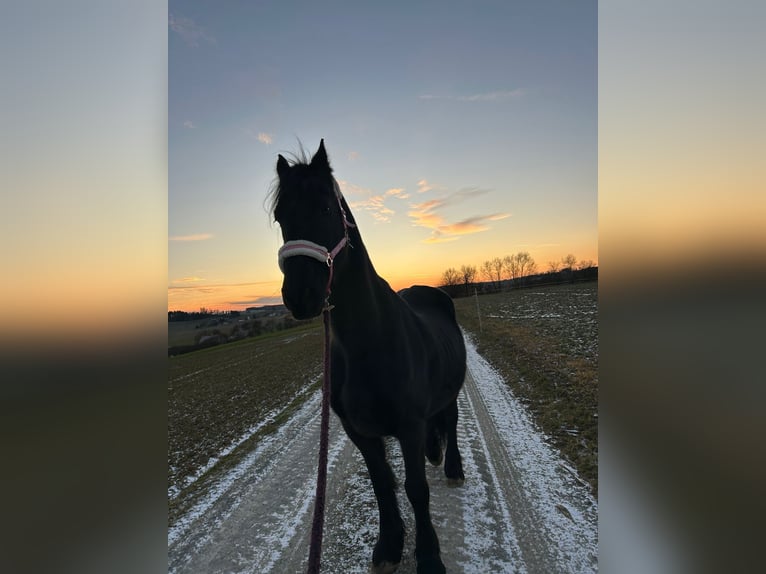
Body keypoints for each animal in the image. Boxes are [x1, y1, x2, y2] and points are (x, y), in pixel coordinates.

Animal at [270, 140, 466, 574]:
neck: (369, 343)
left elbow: (416, 488)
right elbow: (382, 484)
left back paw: (453, 466)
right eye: (279, 217)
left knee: (451, 420)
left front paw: (428, 556)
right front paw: (389, 545)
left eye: (327, 207)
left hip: (451, 392)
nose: (301, 295)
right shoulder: (359, 432)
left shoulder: (408, 427)